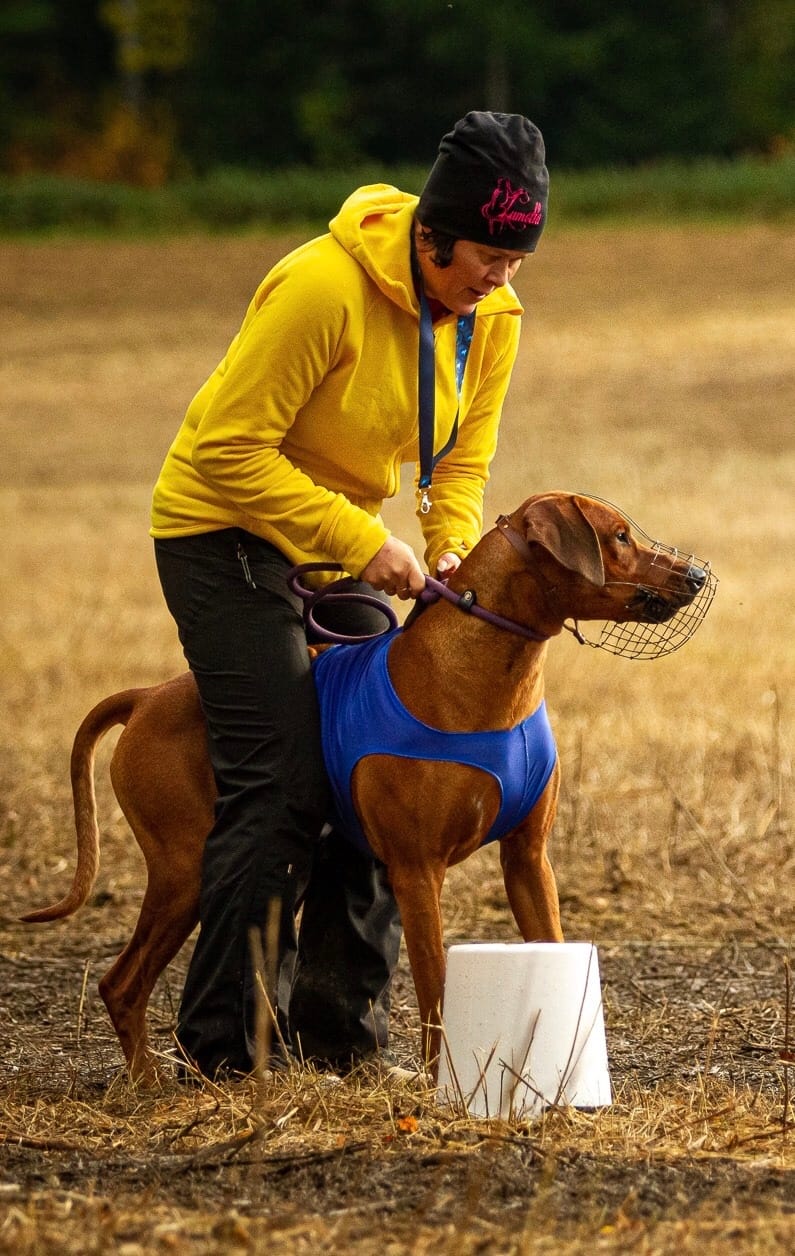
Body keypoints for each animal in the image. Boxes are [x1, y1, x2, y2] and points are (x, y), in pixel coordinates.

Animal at [23, 492, 708, 1081]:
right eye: (619, 537)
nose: (697, 575)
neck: (487, 677)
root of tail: (146, 697)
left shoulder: (528, 859)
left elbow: (551, 945)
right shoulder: (417, 869)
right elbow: (435, 987)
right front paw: (442, 1084)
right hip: (186, 867)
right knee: (122, 982)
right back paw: (157, 1082)